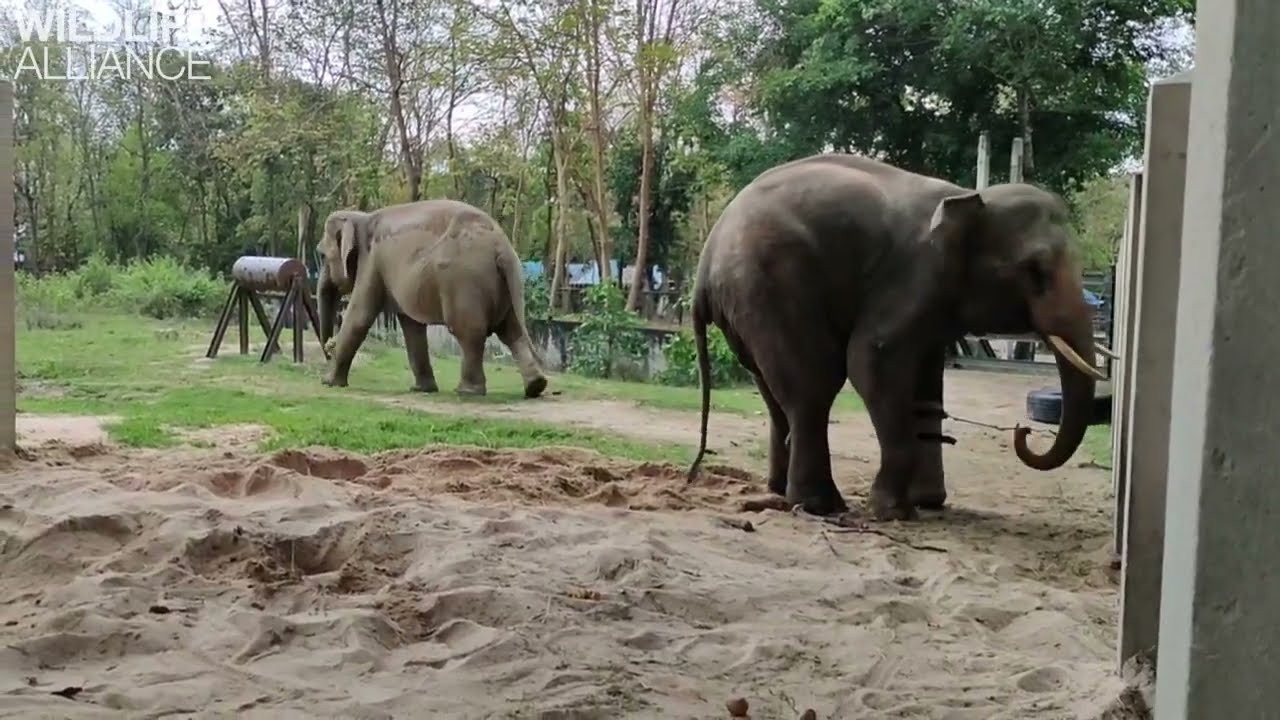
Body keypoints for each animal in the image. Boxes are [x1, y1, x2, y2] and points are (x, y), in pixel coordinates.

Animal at [315, 198, 549, 399]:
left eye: (321, 255)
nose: (328, 347)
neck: (360, 217)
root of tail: (501, 247)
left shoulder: (371, 262)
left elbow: (360, 317)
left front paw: (328, 382)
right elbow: (411, 326)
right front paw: (422, 389)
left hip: (464, 282)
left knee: (469, 332)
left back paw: (467, 392)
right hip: (507, 284)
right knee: (511, 330)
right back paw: (535, 387)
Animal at [685, 153, 1107, 522]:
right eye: (1035, 271)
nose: (1024, 431)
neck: (969, 196)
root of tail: (704, 264)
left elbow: (927, 382)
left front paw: (929, 502)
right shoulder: (914, 275)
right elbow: (872, 360)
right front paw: (896, 512)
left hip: (746, 306)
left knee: (775, 393)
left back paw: (779, 491)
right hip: (769, 283)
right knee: (814, 386)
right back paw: (821, 506)